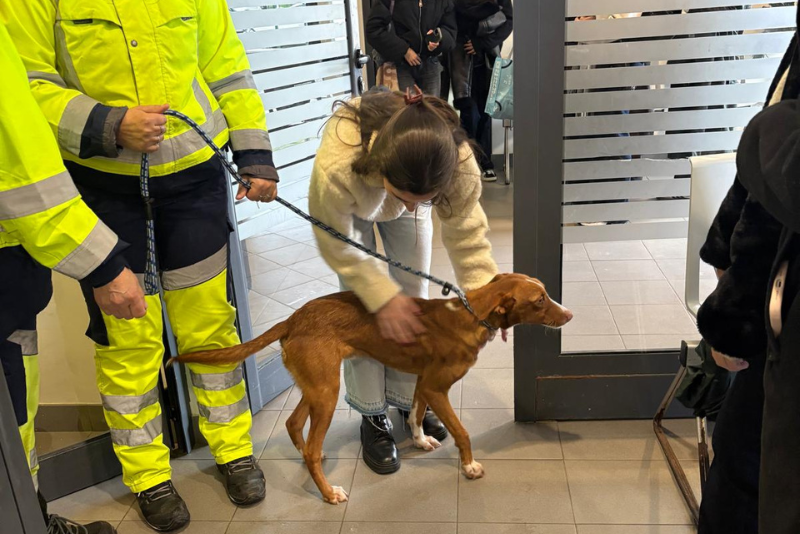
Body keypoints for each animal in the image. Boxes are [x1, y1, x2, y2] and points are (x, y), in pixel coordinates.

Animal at [173, 273, 573, 505]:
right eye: (539, 300)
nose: (570, 315)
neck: (470, 314)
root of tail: (292, 319)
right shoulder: (437, 387)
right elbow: (462, 431)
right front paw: (470, 466)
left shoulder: (422, 382)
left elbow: (415, 414)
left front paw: (420, 440)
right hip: (327, 391)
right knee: (311, 447)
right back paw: (328, 492)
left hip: (317, 386)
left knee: (293, 425)